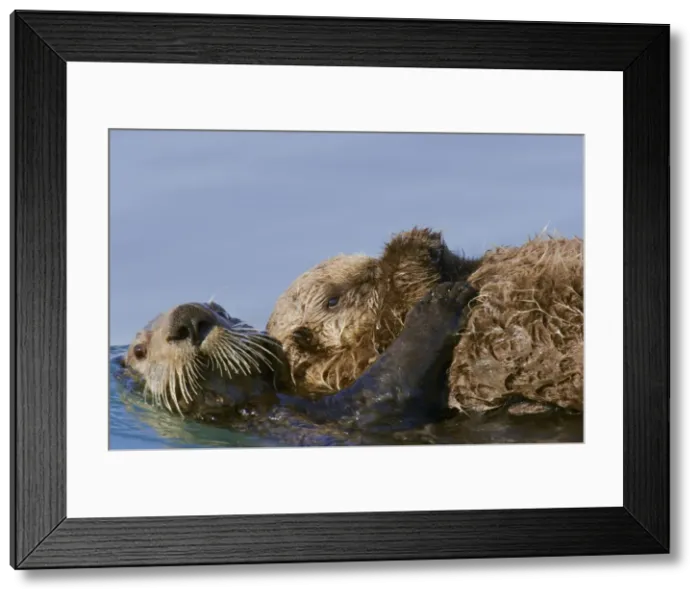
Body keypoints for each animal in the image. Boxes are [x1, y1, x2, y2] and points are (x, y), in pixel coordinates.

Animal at [113, 281, 478, 446]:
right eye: (140, 351)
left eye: (221, 311)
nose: (190, 319)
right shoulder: (366, 408)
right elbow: (391, 384)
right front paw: (442, 298)